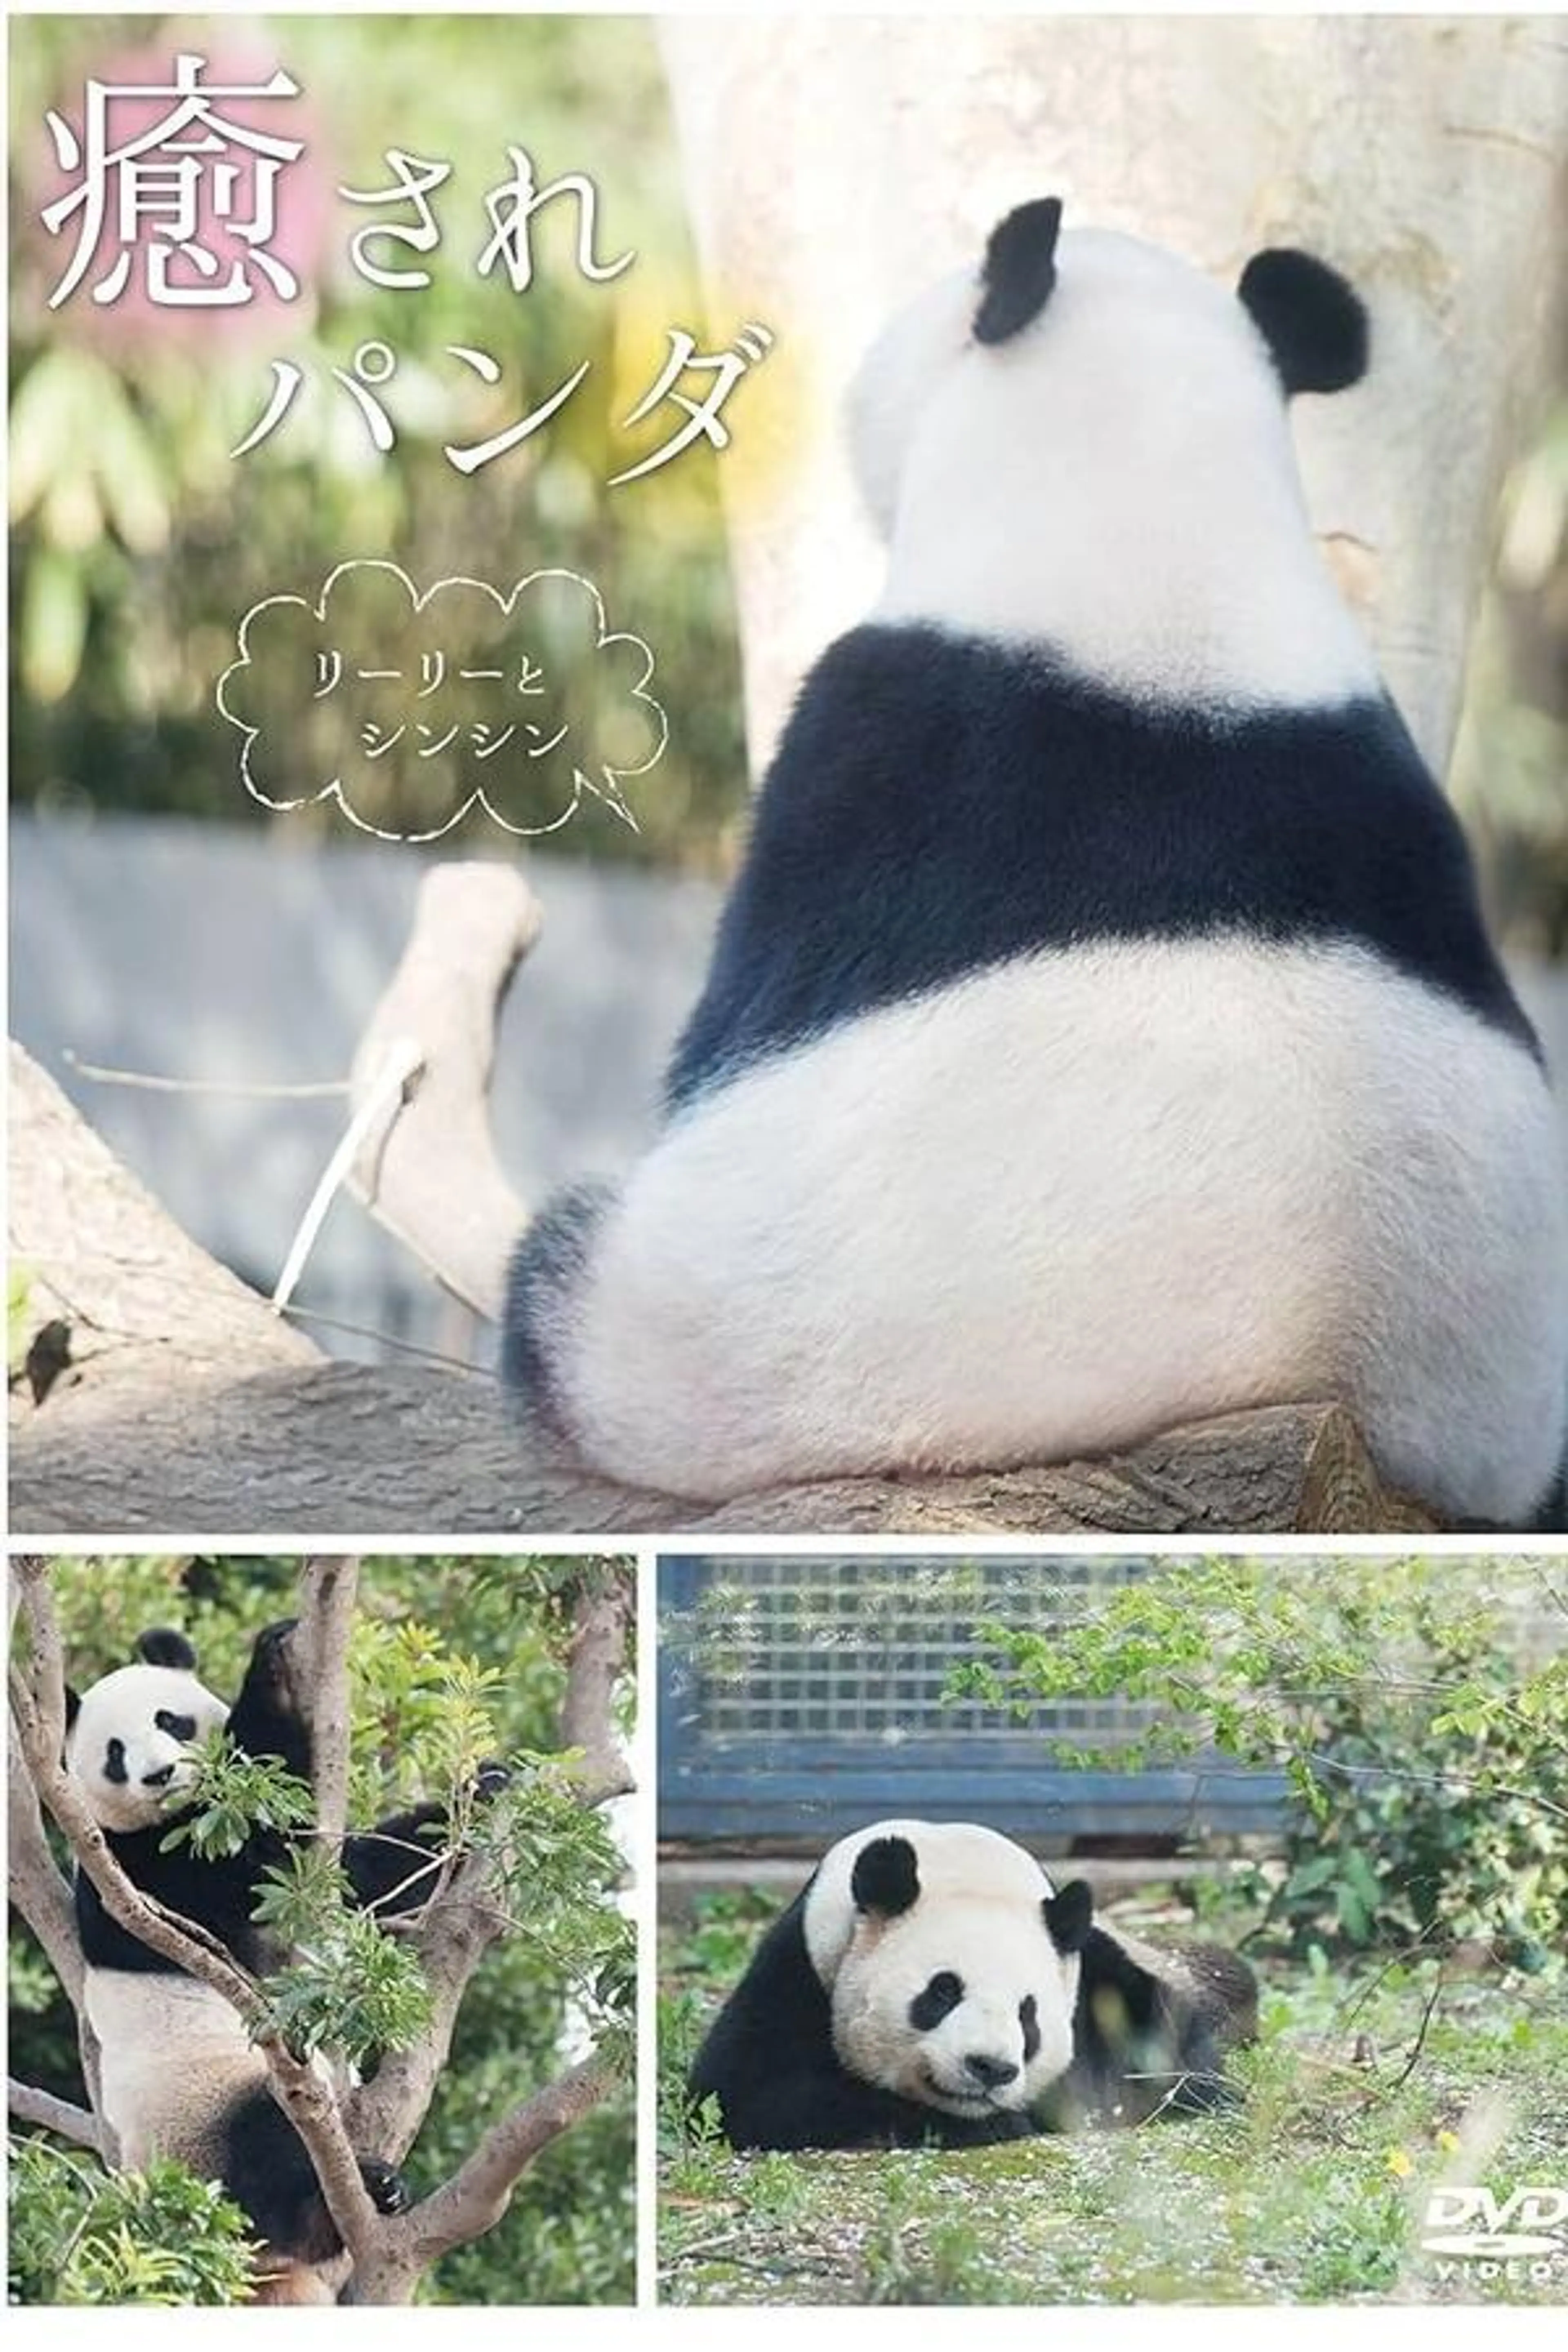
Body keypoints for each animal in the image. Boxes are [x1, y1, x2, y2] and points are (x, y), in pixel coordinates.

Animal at [64, 1621, 489, 2304]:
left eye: (169, 1720)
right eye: (115, 1755)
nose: (159, 1775)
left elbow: (351, 1877)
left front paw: (491, 1784)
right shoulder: (141, 1873)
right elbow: (265, 1851)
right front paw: (272, 1663)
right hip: (206, 2116)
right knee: (268, 2157)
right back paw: (354, 2196)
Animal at [503, 196, 1567, 1529]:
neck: (1151, 509)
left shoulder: (870, 748)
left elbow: (728, 1026)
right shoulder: (1388, 789)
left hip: (736, 1344)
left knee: (559, 1282)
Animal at [686, 1819, 1257, 2152]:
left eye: (1029, 2014)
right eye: (942, 1992)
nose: (990, 2068)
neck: (957, 1868)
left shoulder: (1092, 1967)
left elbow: (1166, 2062)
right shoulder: (803, 1967)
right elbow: (752, 2091)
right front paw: (990, 2125)